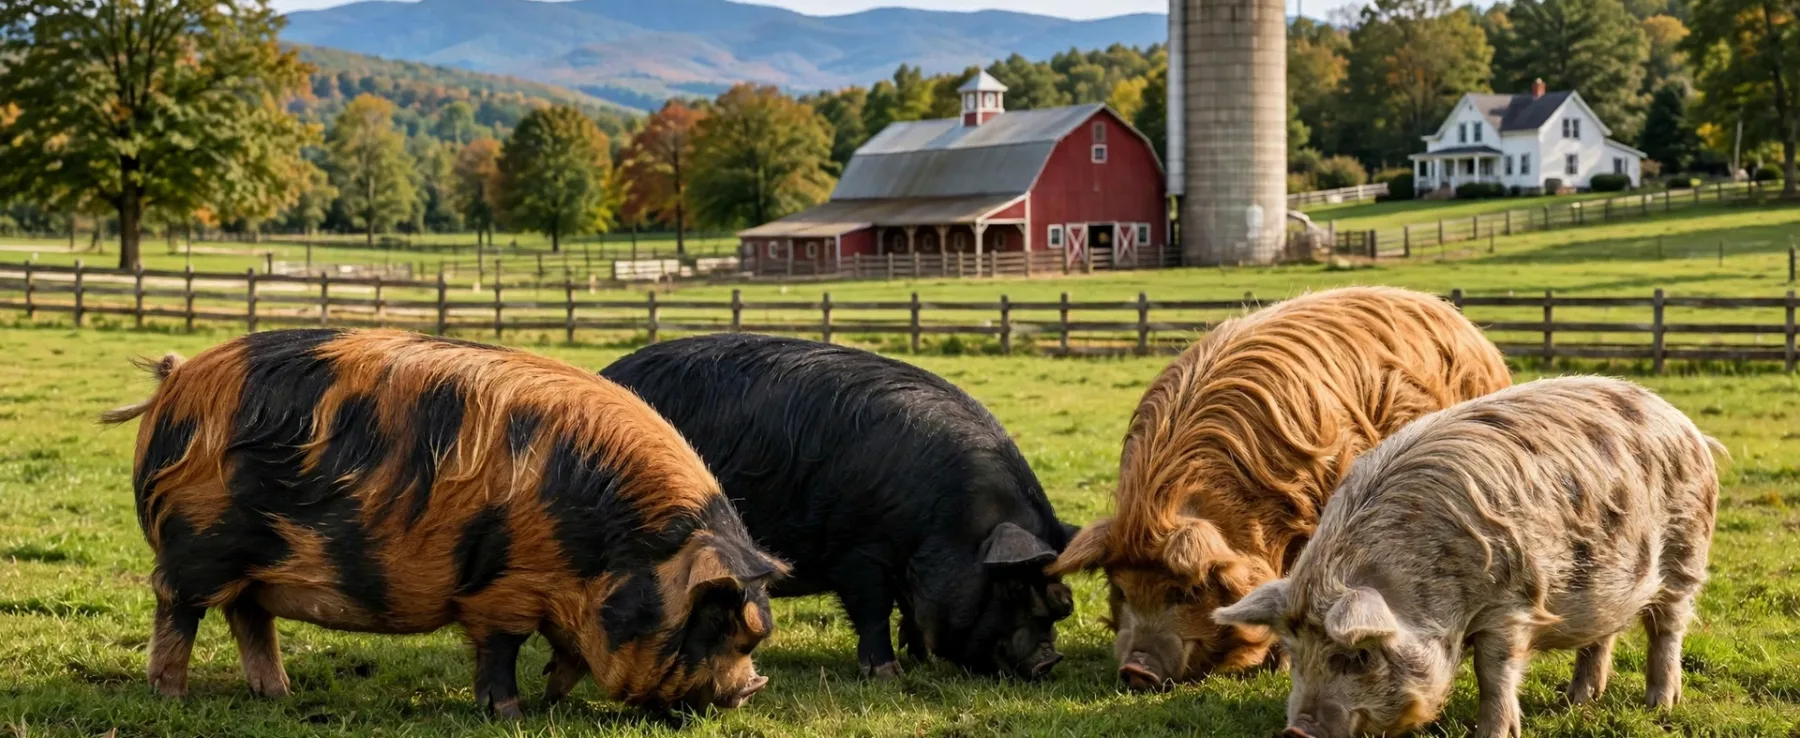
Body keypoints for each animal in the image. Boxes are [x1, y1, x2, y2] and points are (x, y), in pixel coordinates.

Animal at [100, 329, 788, 715]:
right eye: (716, 621)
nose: (750, 690)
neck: (607, 547)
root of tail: (177, 381)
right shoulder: (504, 589)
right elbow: (501, 649)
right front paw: (510, 713)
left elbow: (566, 653)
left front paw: (552, 697)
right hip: (199, 544)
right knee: (177, 607)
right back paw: (171, 696)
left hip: (251, 567)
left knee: (249, 618)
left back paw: (280, 697)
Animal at [601, 333, 1075, 680]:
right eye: (1012, 587)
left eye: (1061, 603)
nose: (1049, 661)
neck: (949, 521)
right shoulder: (858, 551)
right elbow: (873, 610)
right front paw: (886, 675)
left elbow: (910, 610)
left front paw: (919, 658)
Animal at [1215, 376, 1720, 738]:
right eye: (1294, 653)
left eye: (1358, 656)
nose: (1297, 732)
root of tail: (1684, 423)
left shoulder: (1511, 605)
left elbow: (1494, 672)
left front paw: (1494, 733)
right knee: (1602, 636)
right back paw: (1578, 700)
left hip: (1686, 549)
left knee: (1667, 627)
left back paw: (1660, 703)